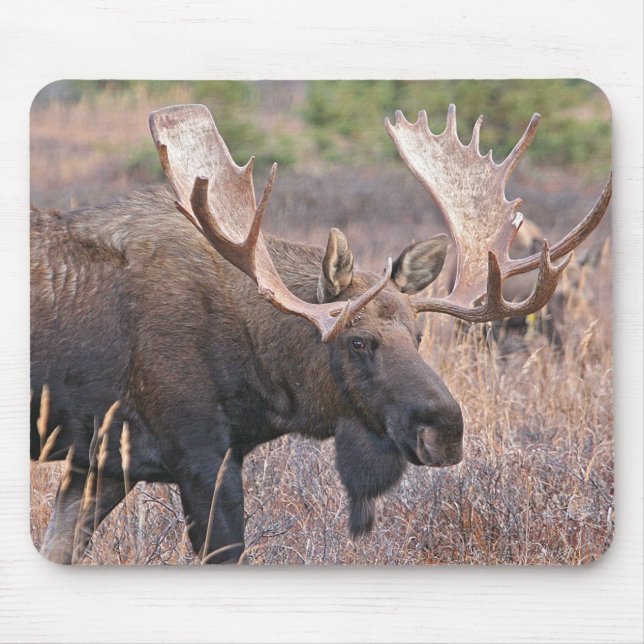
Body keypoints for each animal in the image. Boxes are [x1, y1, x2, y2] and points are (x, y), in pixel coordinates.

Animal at [30, 103, 611, 563]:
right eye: (358, 341)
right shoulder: (198, 455)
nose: (446, 430)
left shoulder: (101, 463)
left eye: (419, 336)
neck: (260, 382)